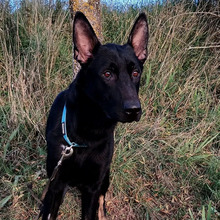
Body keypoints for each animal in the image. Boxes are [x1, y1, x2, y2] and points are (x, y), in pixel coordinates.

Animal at [42, 11, 149, 219]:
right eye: (107, 74)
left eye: (135, 73)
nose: (134, 109)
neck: (87, 133)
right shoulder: (56, 183)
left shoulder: (92, 187)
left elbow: (92, 207)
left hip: (105, 178)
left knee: (101, 202)